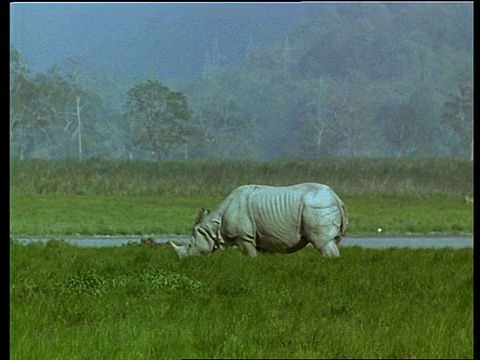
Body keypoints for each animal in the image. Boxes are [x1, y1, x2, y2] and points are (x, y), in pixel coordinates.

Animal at [170, 183, 348, 258]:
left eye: (190, 245)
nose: (183, 259)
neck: (213, 225)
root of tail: (338, 199)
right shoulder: (266, 237)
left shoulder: (243, 236)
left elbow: (250, 255)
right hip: (322, 205)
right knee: (331, 241)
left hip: (317, 206)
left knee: (322, 243)